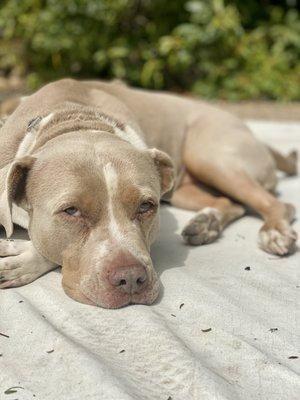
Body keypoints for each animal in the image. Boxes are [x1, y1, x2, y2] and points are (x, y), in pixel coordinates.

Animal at [0, 79, 296, 310]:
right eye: (70, 211)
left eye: (146, 206)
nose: (130, 278)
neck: (78, 119)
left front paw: (20, 258)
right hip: (184, 188)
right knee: (231, 203)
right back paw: (205, 223)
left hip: (212, 156)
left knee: (278, 204)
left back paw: (274, 233)